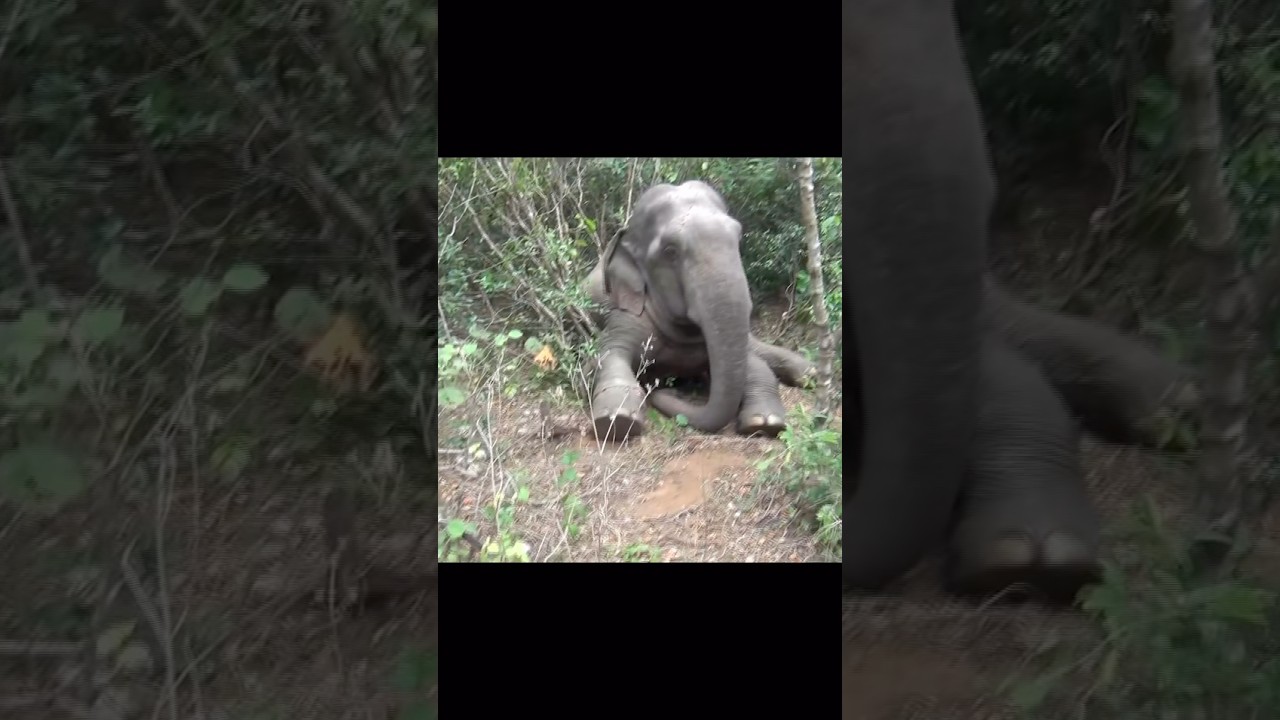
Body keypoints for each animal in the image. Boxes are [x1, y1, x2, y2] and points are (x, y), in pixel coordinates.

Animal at [582, 180, 817, 441]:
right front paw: (618, 420)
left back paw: (809, 372)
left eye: (737, 236)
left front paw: (765, 423)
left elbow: (753, 363)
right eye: (670, 251)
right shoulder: (626, 312)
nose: (660, 389)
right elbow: (606, 356)